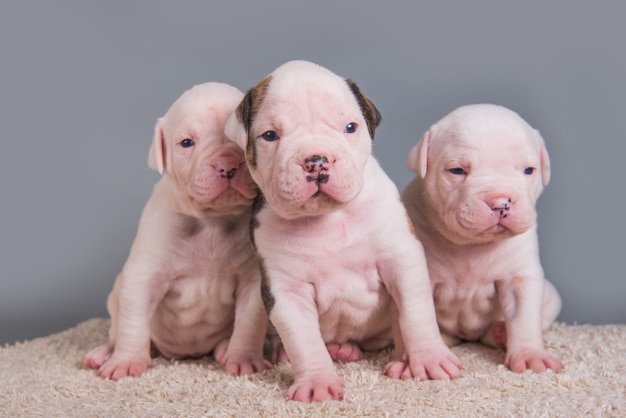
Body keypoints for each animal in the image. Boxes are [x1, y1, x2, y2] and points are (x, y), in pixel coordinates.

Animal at [82, 81, 268, 378]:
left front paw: (243, 359)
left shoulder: (252, 281)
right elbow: (133, 323)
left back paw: (226, 349)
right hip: (116, 299)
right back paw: (104, 353)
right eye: (187, 143)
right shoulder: (143, 275)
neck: (213, 221)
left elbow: (249, 322)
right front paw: (126, 361)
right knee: (118, 330)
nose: (227, 164)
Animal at [224, 60, 458, 404]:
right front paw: (317, 382)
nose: (317, 160)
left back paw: (392, 358)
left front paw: (429, 360)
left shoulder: (402, 258)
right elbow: (303, 340)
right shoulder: (286, 289)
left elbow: (416, 314)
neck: (327, 219)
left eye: (350, 127)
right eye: (270, 135)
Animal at [402, 105, 564, 376]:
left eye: (529, 170)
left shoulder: (519, 278)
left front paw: (531, 356)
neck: (472, 245)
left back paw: (500, 334)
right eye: (457, 171)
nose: (500, 202)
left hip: (551, 296)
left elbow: (524, 318)